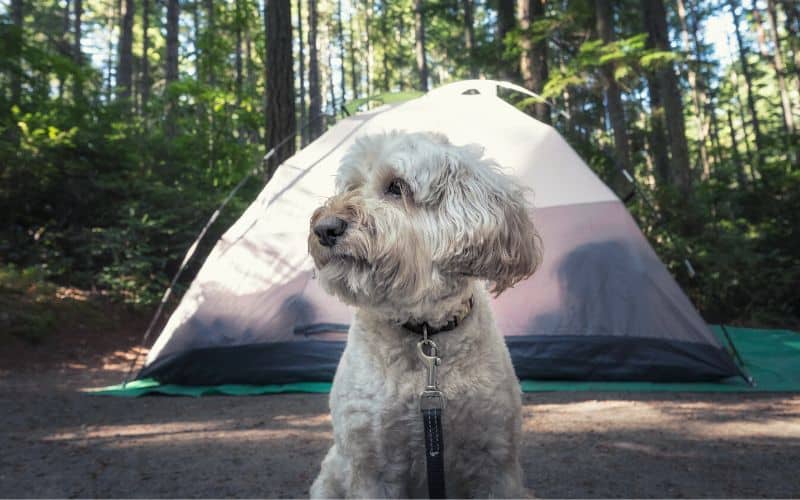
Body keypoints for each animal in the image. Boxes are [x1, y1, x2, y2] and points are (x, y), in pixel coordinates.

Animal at [310, 131, 540, 498]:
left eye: (396, 187)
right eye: (350, 186)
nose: (324, 228)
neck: (424, 332)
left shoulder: (494, 462)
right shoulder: (372, 467)